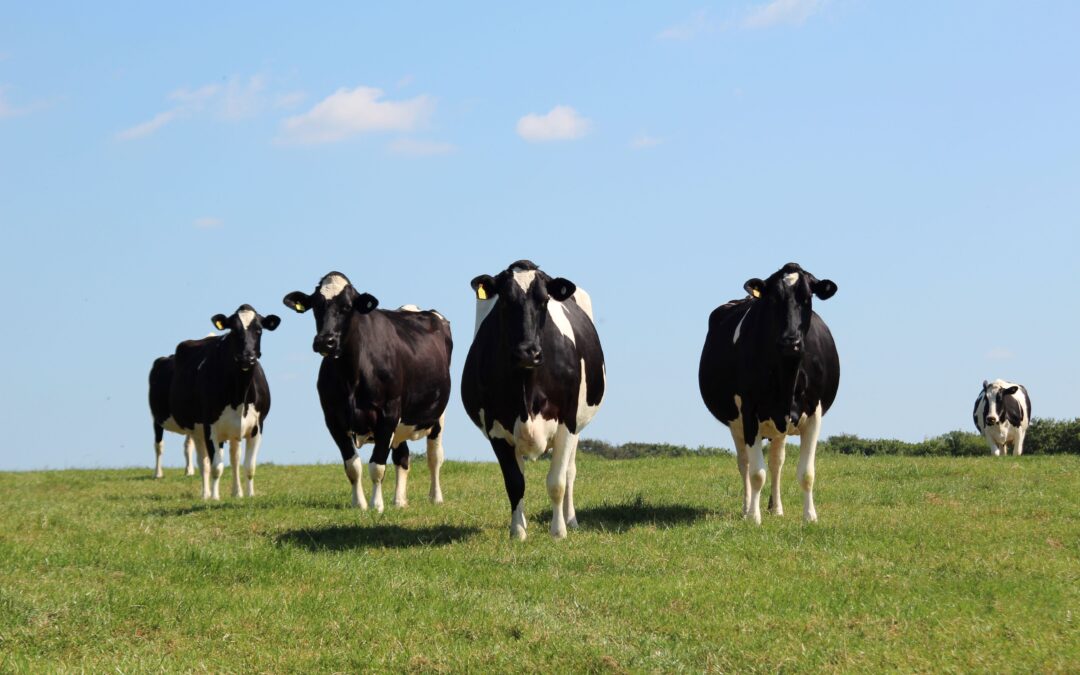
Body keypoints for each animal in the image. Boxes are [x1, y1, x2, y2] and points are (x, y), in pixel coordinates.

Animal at [168, 304, 278, 501]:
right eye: (233, 330)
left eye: (259, 330)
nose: (247, 358)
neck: (239, 396)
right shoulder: (210, 427)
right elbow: (216, 467)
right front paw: (214, 497)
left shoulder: (258, 426)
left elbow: (249, 466)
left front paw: (250, 495)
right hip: (197, 430)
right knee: (203, 462)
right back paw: (206, 494)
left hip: (233, 431)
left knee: (234, 459)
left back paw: (237, 492)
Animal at [282, 270, 451, 509]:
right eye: (315, 305)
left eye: (348, 306)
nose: (326, 341)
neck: (351, 374)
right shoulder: (333, 419)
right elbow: (352, 466)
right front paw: (359, 504)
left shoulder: (388, 414)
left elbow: (377, 465)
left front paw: (376, 505)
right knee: (402, 456)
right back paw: (399, 501)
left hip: (438, 415)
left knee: (434, 457)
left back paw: (435, 497)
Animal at [460, 260, 604, 540]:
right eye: (505, 300)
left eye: (545, 300)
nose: (528, 352)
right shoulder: (496, 429)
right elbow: (515, 483)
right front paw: (517, 532)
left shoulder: (567, 422)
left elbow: (557, 481)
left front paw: (558, 531)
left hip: (579, 425)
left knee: (570, 471)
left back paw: (571, 520)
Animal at [695, 262, 838, 520]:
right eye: (773, 299)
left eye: (807, 297)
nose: (791, 341)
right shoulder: (749, 412)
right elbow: (756, 473)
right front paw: (754, 517)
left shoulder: (815, 412)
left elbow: (806, 473)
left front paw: (810, 517)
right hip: (736, 422)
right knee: (745, 464)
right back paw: (746, 508)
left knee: (776, 462)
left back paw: (777, 509)